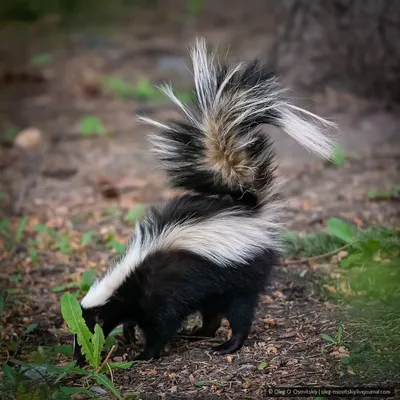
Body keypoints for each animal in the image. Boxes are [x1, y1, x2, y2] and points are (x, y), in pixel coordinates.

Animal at [72, 38, 338, 362]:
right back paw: (199, 333)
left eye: (87, 331)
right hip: (220, 285)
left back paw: (227, 345)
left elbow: (162, 325)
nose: (78, 357)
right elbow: (137, 319)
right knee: (212, 313)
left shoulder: (163, 293)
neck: (128, 279)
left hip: (240, 274)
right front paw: (130, 334)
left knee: (240, 313)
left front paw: (145, 353)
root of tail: (252, 212)